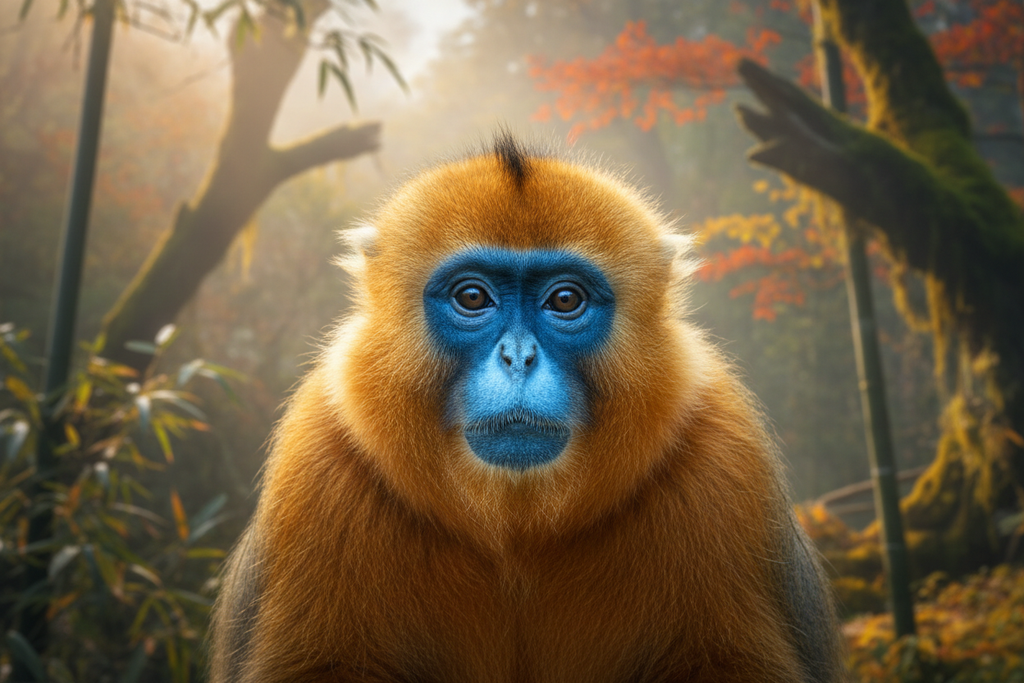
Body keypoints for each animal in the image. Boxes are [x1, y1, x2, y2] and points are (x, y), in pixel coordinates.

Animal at [209, 133, 846, 683]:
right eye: (472, 297)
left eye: (565, 300)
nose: (518, 357)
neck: (518, 535)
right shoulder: (318, 463)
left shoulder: (723, 457)